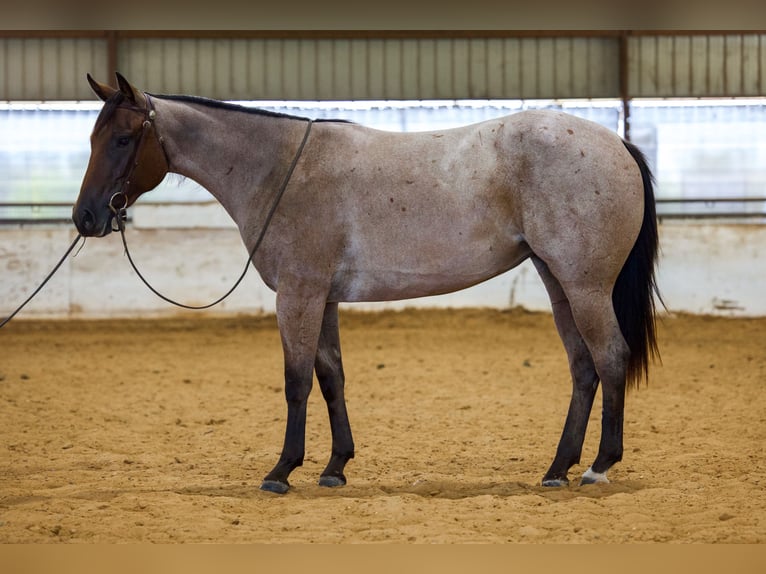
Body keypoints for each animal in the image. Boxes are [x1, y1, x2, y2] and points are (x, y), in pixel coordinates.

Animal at [73, 72, 661, 494]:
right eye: (94, 137)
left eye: (123, 138)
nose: (85, 218)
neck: (280, 168)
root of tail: (617, 145)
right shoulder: (322, 298)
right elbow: (331, 377)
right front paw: (335, 467)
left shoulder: (299, 295)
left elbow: (296, 381)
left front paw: (282, 471)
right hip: (557, 281)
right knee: (583, 367)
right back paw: (558, 468)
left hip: (585, 285)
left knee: (610, 357)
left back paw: (599, 467)